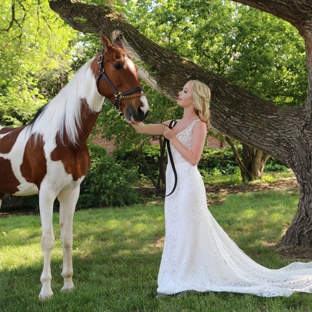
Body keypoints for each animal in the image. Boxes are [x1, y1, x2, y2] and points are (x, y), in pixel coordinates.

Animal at [0, 33, 149, 298]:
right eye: (118, 65)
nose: (142, 109)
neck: (66, 136)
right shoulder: (46, 193)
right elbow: (47, 239)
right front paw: (46, 290)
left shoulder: (71, 191)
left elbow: (67, 237)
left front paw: (68, 284)